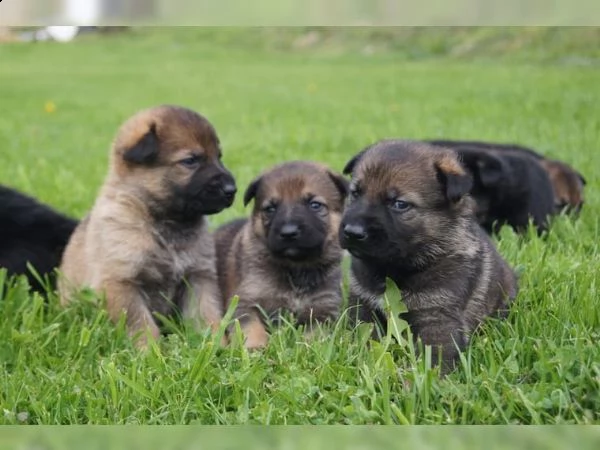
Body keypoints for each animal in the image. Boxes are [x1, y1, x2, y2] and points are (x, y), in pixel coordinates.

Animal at [58, 105, 237, 348]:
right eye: (191, 160)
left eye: (219, 157)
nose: (232, 190)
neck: (165, 221)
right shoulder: (122, 283)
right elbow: (141, 324)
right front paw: (151, 351)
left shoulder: (198, 276)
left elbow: (207, 314)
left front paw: (217, 346)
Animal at [214, 161, 346, 348]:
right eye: (270, 208)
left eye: (315, 205)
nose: (288, 233)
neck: (296, 267)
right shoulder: (245, 302)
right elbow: (251, 327)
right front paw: (255, 347)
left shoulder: (323, 310)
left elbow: (315, 335)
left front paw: (310, 347)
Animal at [340, 140, 516, 372]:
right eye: (355, 193)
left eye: (400, 204)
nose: (352, 232)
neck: (394, 270)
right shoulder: (363, 305)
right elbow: (366, 338)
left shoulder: (437, 315)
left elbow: (436, 355)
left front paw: (430, 378)